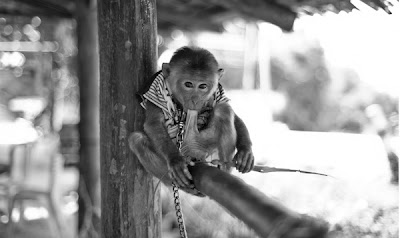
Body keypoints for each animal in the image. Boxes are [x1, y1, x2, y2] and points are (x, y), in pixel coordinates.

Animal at [129, 46, 253, 195]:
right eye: (188, 84)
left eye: (202, 86)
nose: (195, 99)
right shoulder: (156, 88)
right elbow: (154, 124)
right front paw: (175, 160)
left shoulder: (218, 91)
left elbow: (234, 115)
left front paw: (245, 151)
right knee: (137, 140)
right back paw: (185, 185)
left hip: (201, 148)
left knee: (223, 110)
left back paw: (224, 169)